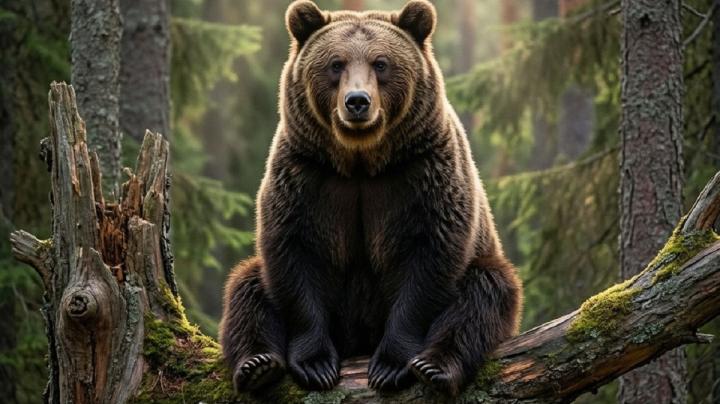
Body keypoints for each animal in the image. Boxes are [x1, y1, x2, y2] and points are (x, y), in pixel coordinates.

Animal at [220, 0, 523, 397]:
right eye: (336, 64)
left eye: (381, 63)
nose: (357, 102)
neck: (361, 160)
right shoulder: (306, 175)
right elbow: (295, 256)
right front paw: (315, 364)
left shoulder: (423, 172)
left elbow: (429, 260)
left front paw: (391, 366)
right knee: (247, 288)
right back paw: (257, 364)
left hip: (486, 267)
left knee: (484, 292)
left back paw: (436, 365)